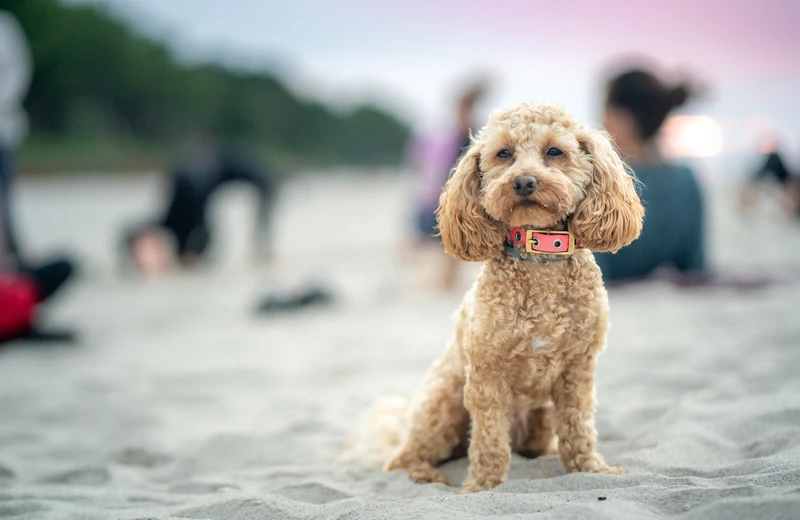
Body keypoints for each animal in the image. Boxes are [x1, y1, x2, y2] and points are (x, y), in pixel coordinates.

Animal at [346, 102, 648, 496]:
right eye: (503, 154)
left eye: (555, 151)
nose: (523, 182)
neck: (538, 256)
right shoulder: (487, 374)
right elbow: (489, 440)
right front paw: (481, 487)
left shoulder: (577, 370)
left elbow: (578, 428)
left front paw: (590, 470)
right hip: (442, 403)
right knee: (404, 457)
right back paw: (426, 474)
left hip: (538, 417)